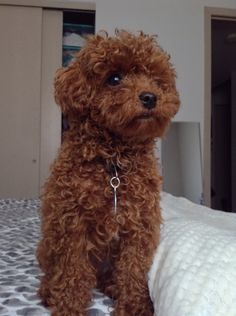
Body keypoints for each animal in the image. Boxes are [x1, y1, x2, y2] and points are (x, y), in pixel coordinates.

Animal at [37, 30, 180, 316]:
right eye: (114, 78)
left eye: (157, 81)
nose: (150, 97)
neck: (114, 165)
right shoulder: (72, 224)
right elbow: (73, 272)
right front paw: (69, 306)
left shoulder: (138, 226)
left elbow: (133, 270)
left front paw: (134, 306)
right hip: (49, 242)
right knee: (55, 272)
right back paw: (49, 291)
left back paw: (112, 286)